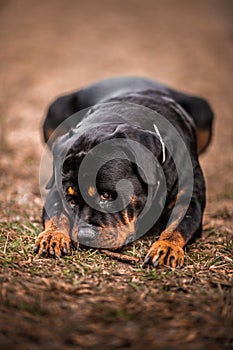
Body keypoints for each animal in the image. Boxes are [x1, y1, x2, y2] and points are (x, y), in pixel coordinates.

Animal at [33, 77, 214, 268]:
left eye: (107, 196)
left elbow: (177, 227)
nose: (85, 236)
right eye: (71, 200)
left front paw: (166, 248)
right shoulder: (56, 190)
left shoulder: (190, 200)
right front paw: (52, 236)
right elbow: (57, 214)